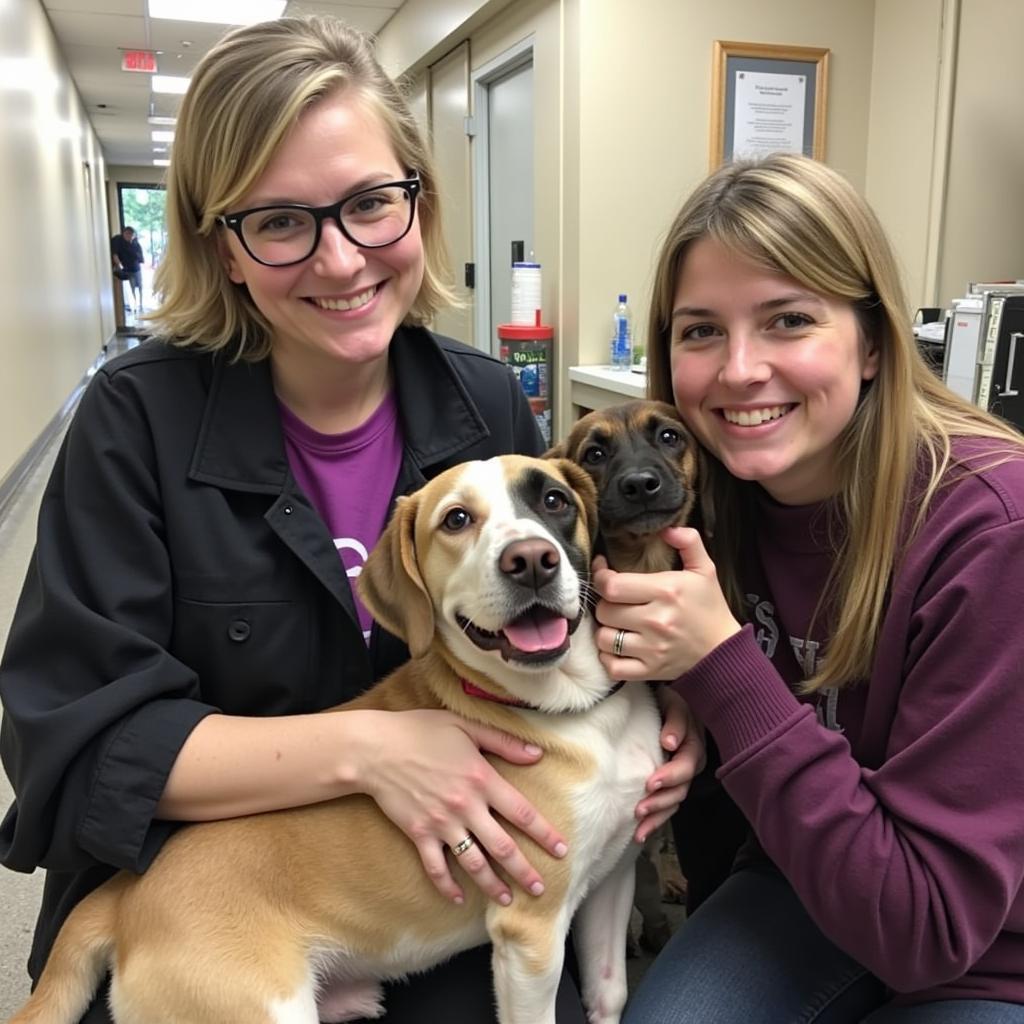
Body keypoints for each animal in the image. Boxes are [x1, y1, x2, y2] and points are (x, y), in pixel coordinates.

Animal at [14, 456, 663, 1024]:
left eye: (554, 500)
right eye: (456, 519)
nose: (531, 560)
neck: (573, 711)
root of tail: (122, 896)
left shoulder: (612, 879)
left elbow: (610, 992)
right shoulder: (530, 932)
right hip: (265, 1009)